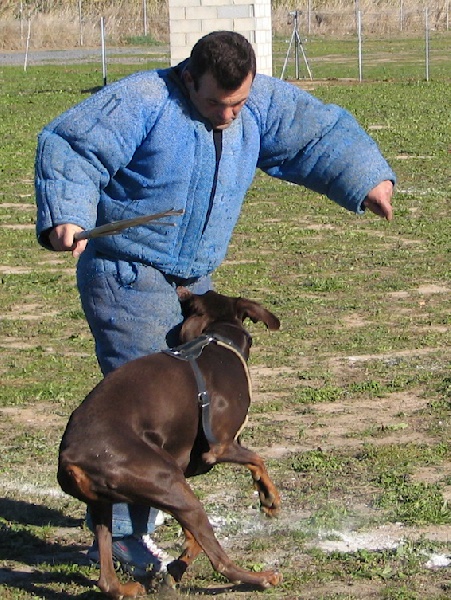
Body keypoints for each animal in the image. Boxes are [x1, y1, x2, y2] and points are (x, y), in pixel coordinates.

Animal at [57, 288, 282, 596]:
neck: (217, 338)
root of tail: (71, 459)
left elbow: (192, 541)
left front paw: (175, 569)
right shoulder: (220, 447)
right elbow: (257, 459)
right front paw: (269, 498)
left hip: (111, 502)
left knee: (106, 578)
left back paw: (128, 588)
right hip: (170, 485)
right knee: (221, 563)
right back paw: (259, 578)